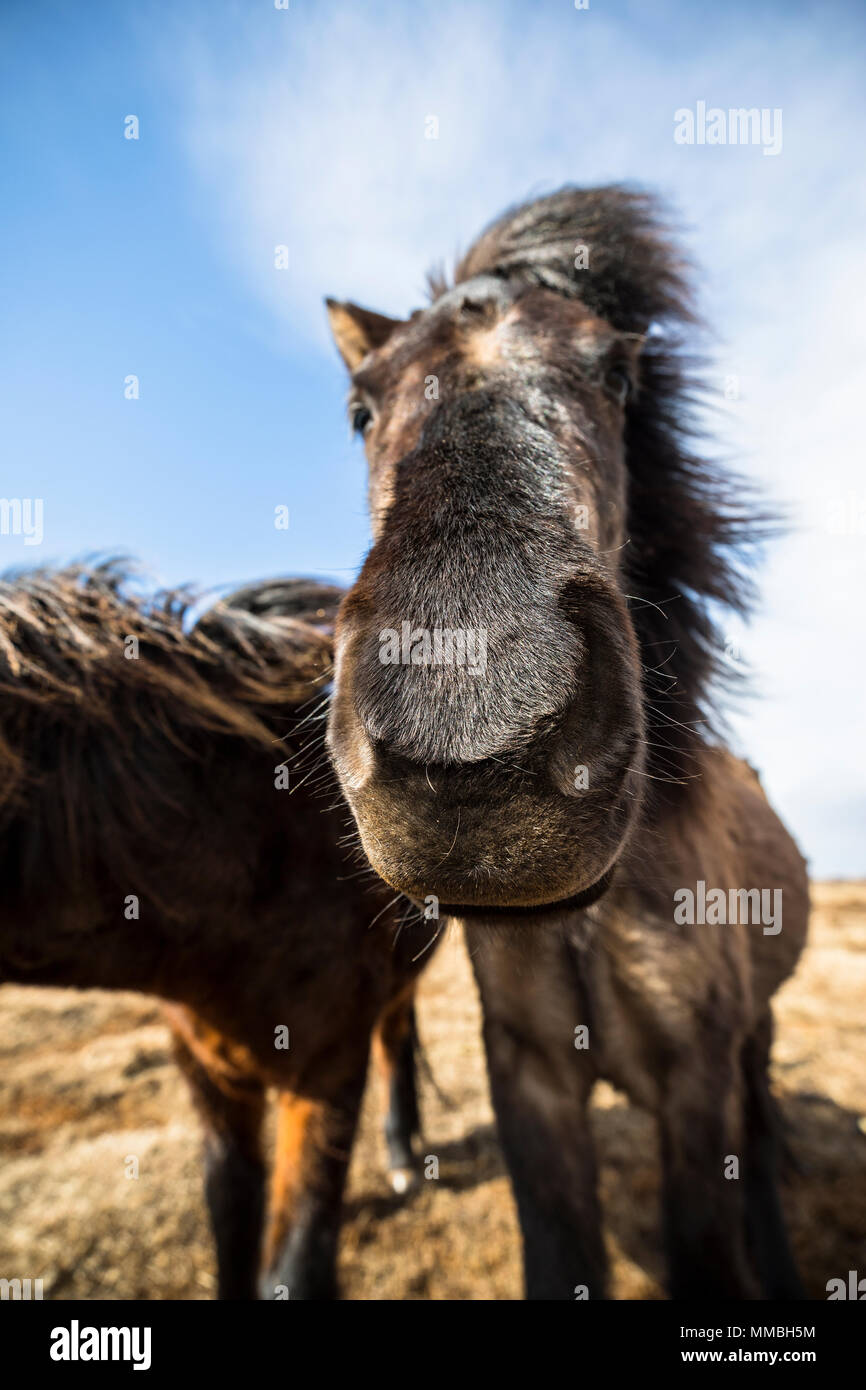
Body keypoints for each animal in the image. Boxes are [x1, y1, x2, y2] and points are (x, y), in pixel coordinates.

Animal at [0, 562, 437, 1299]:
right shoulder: (208, 1070)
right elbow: (230, 1212)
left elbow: (295, 1262)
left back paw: (404, 1154)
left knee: (397, 1037)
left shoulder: (327, 1068)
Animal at [325, 185, 810, 1299]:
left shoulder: (696, 1079)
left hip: (755, 1038)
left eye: (618, 374)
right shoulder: (530, 1074)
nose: (469, 754)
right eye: (359, 408)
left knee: (763, 1147)